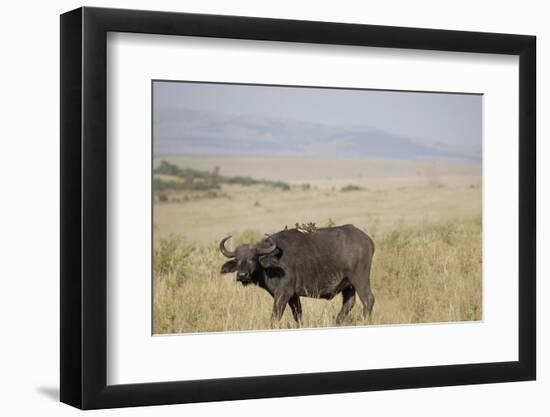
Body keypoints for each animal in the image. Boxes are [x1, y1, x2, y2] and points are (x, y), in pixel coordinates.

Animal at [220, 226, 376, 324]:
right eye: (237, 260)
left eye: (253, 258)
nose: (242, 275)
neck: (271, 264)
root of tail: (368, 240)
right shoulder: (294, 297)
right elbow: (298, 316)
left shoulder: (283, 294)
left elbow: (274, 318)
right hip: (348, 285)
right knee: (349, 303)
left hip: (360, 279)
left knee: (368, 300)